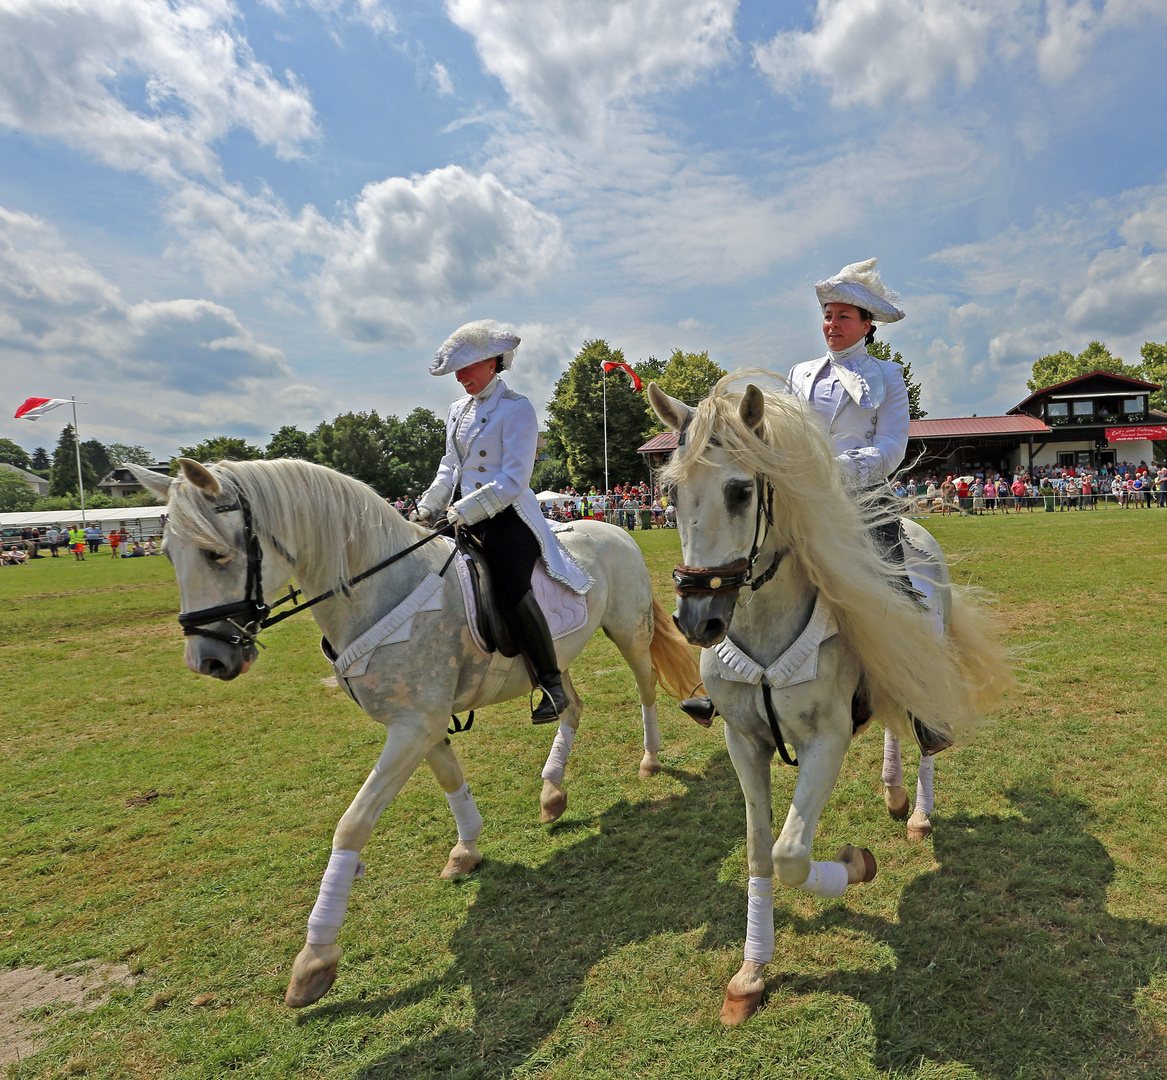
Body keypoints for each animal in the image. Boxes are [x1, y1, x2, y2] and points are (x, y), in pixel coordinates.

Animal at [128, 457, 695, 1013]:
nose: (207, 660)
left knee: (645, 688)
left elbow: (352, 825)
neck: (381, 592)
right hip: (557, 657)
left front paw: (315, 960)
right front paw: (467, 850)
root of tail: (613, 529)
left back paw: (649, 760)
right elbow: (449, 779)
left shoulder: (412, 726)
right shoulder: (420, 723)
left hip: (627, 630)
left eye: (216, 554)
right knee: (570, 706)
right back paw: (552, 791)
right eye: (168, 553)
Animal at [648, 375, 1012, 1022]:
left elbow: (792, 854)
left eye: (740, 490)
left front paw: (856, 866)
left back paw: (917, 814)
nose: (697, 619)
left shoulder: (826, 740)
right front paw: (750, 975)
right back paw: (894, 794)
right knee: (893, 724)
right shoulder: (742, 741)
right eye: (670, 493)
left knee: (923, 736)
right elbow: (760, 853)